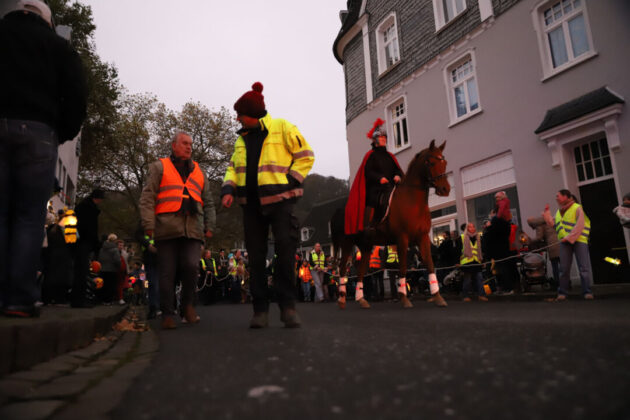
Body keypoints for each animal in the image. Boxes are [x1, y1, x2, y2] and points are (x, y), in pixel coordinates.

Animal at [334, 140, 452, 308]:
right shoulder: (402, 239)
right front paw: (404, 298)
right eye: (431, 162)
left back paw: (361, 299)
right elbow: (402, 267)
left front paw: (437, 296)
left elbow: (430, 264)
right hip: (347, 244)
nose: (445, 189)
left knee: (361, 271)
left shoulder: (423, 238)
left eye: (444, 162)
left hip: (365, 246)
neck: (411, 200)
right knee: (343, 268)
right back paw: (342, 299)